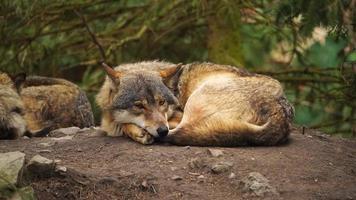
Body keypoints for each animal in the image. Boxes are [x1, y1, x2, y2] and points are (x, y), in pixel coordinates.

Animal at [96, 61, 294, 147]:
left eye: (161, 102)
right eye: (139, 106)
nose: (162, 130)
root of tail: (280, 111)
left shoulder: (177, 115)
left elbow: (122, 124)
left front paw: (136, 131)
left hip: (196, 100)